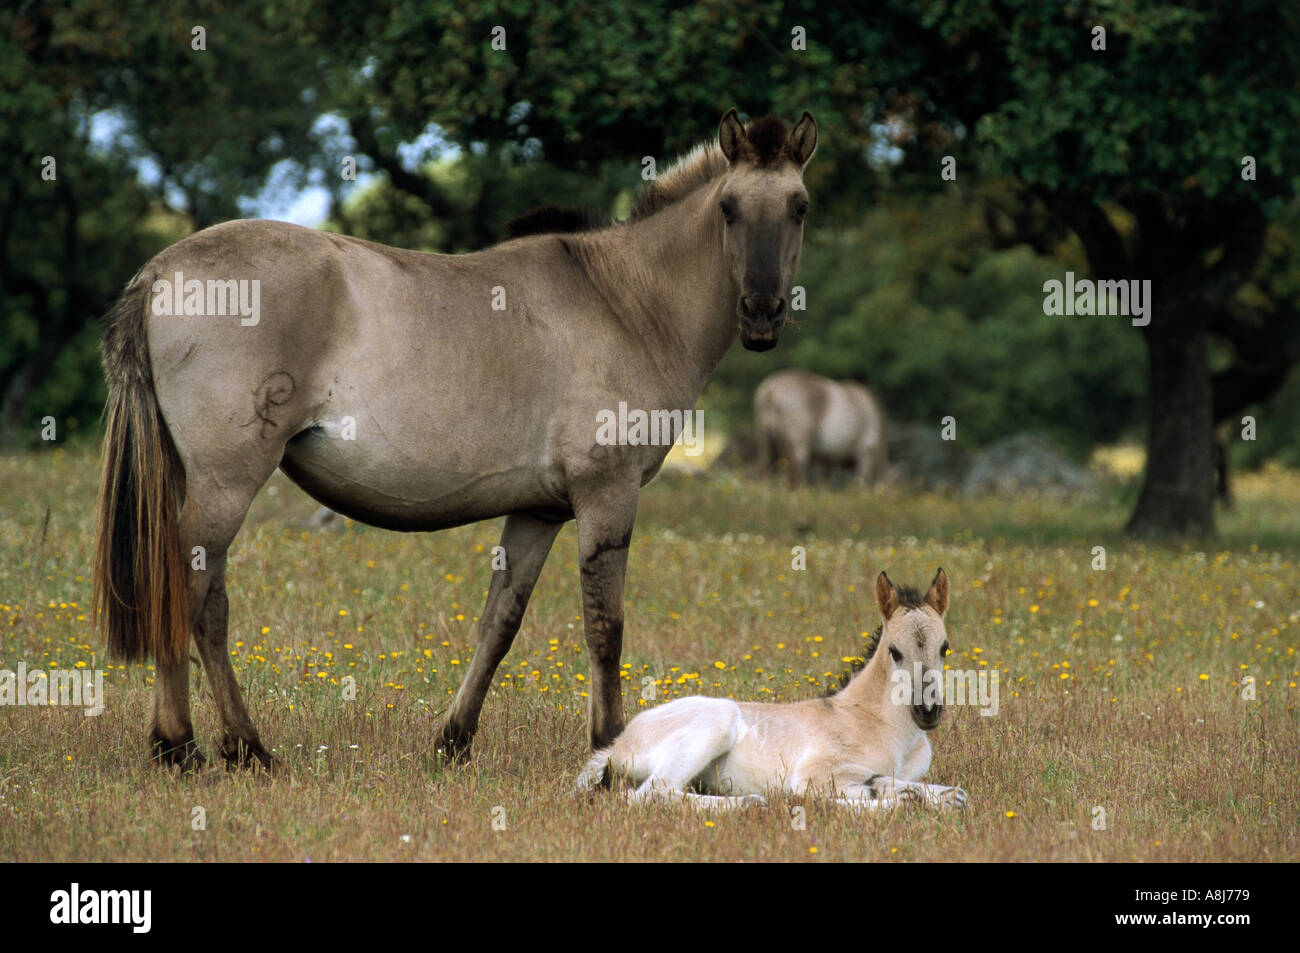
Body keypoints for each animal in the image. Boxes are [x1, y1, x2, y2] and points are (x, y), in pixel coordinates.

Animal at [92, 108, 819, 770]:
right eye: (728, 207)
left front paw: (453, 741)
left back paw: (243, 747)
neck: (625, 303)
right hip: (227, 482)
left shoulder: (539, 512)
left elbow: (500, 622)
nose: (761, 315)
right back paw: (182, 745)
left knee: (208, 604)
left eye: (799, 207)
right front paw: (610, 745)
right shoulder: (607, 496)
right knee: (189, 593)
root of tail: (160, 271)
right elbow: (604, 626)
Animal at [575, 569, 967, 813]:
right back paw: (750, 803)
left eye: (945, 648)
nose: (928, 713)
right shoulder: (815, 773)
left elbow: (935, 789)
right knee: (653, 793)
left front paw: (944, 797)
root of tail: (616, 745)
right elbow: (876, 785)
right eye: (894, 651)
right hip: (717, 720)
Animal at [754, 368, 888, 488]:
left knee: (765, 467)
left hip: (764, 438)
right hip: (798, 445)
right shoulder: (865, 452)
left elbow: (824, 483)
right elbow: (861, 483)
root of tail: (771, 390)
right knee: (796, 473)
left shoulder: (825, 460)